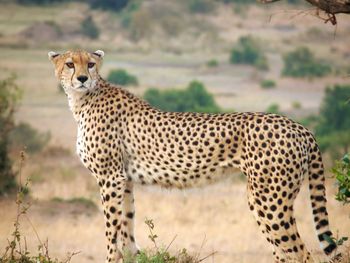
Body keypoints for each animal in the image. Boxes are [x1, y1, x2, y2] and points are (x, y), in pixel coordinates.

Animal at [48, 50, 336, 263]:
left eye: (91, 64)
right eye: (70, 64)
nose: (82, 78)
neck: (84, 99)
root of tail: (298, 126)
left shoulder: (109, 177)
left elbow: (111, 231)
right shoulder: (124, 180)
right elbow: (126, 227)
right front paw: (130, 254)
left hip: (270, 199)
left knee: (301, 254)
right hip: (263, 200)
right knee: (286, 252)